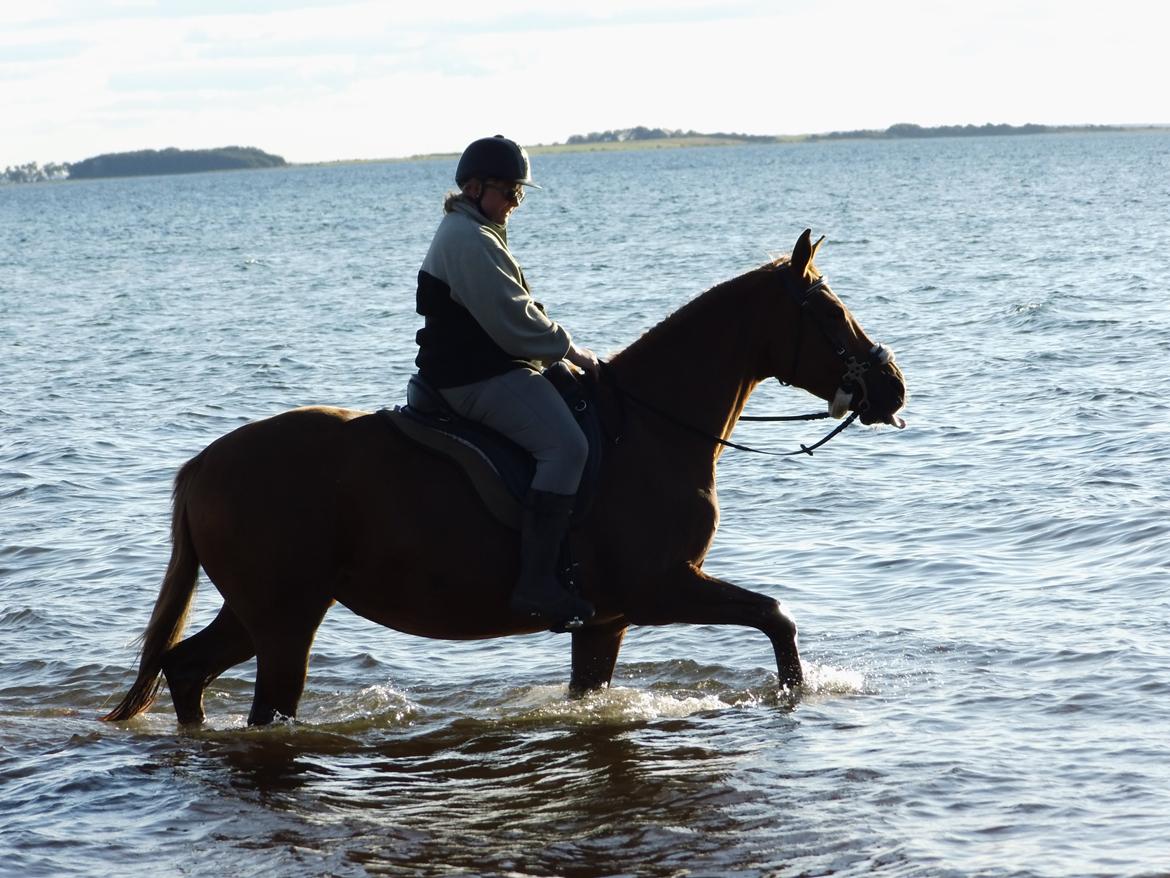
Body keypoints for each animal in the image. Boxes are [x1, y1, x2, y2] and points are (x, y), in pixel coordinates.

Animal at [102, 228, 903, 730]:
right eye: (829, 311)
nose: (891, 386)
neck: (648, 427)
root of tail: (202, 467)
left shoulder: (605, 620)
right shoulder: (662, 588)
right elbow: (775, 615)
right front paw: (795, 693)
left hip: (259, 612)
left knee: (184, 669)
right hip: (285, 621)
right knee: (251, 701)